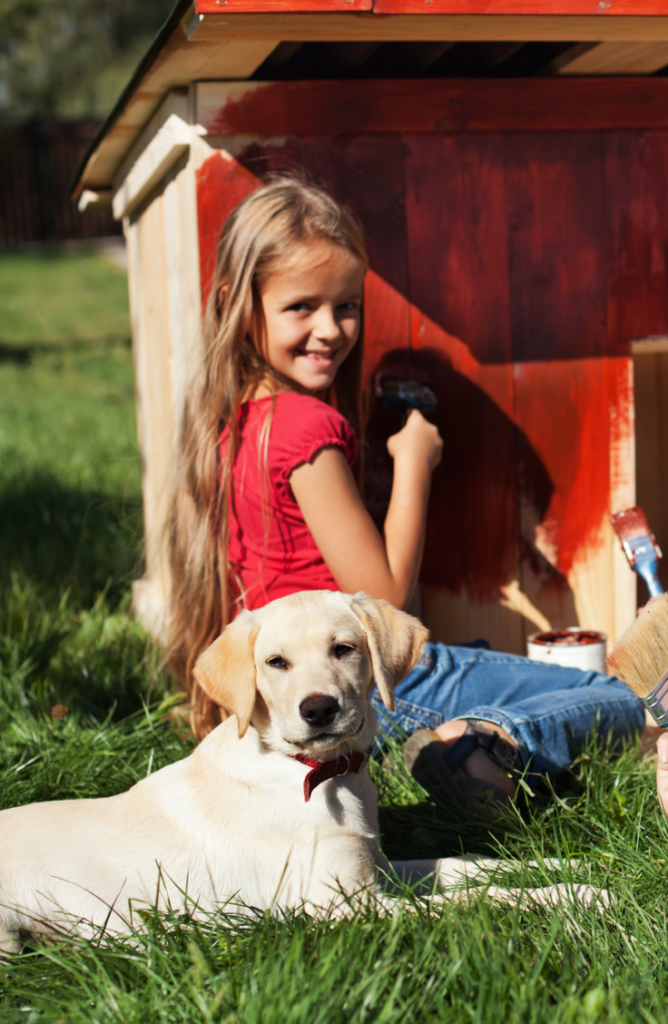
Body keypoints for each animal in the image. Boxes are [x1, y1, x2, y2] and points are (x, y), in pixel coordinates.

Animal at [0, 593, 606, 950]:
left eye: (344, 649)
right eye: (275, 663)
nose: (319, 709)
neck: (316, 773)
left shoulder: (375, 870)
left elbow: (468, 866)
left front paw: (570, 862)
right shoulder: (347, 907)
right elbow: (480, 900)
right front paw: (578, 895)